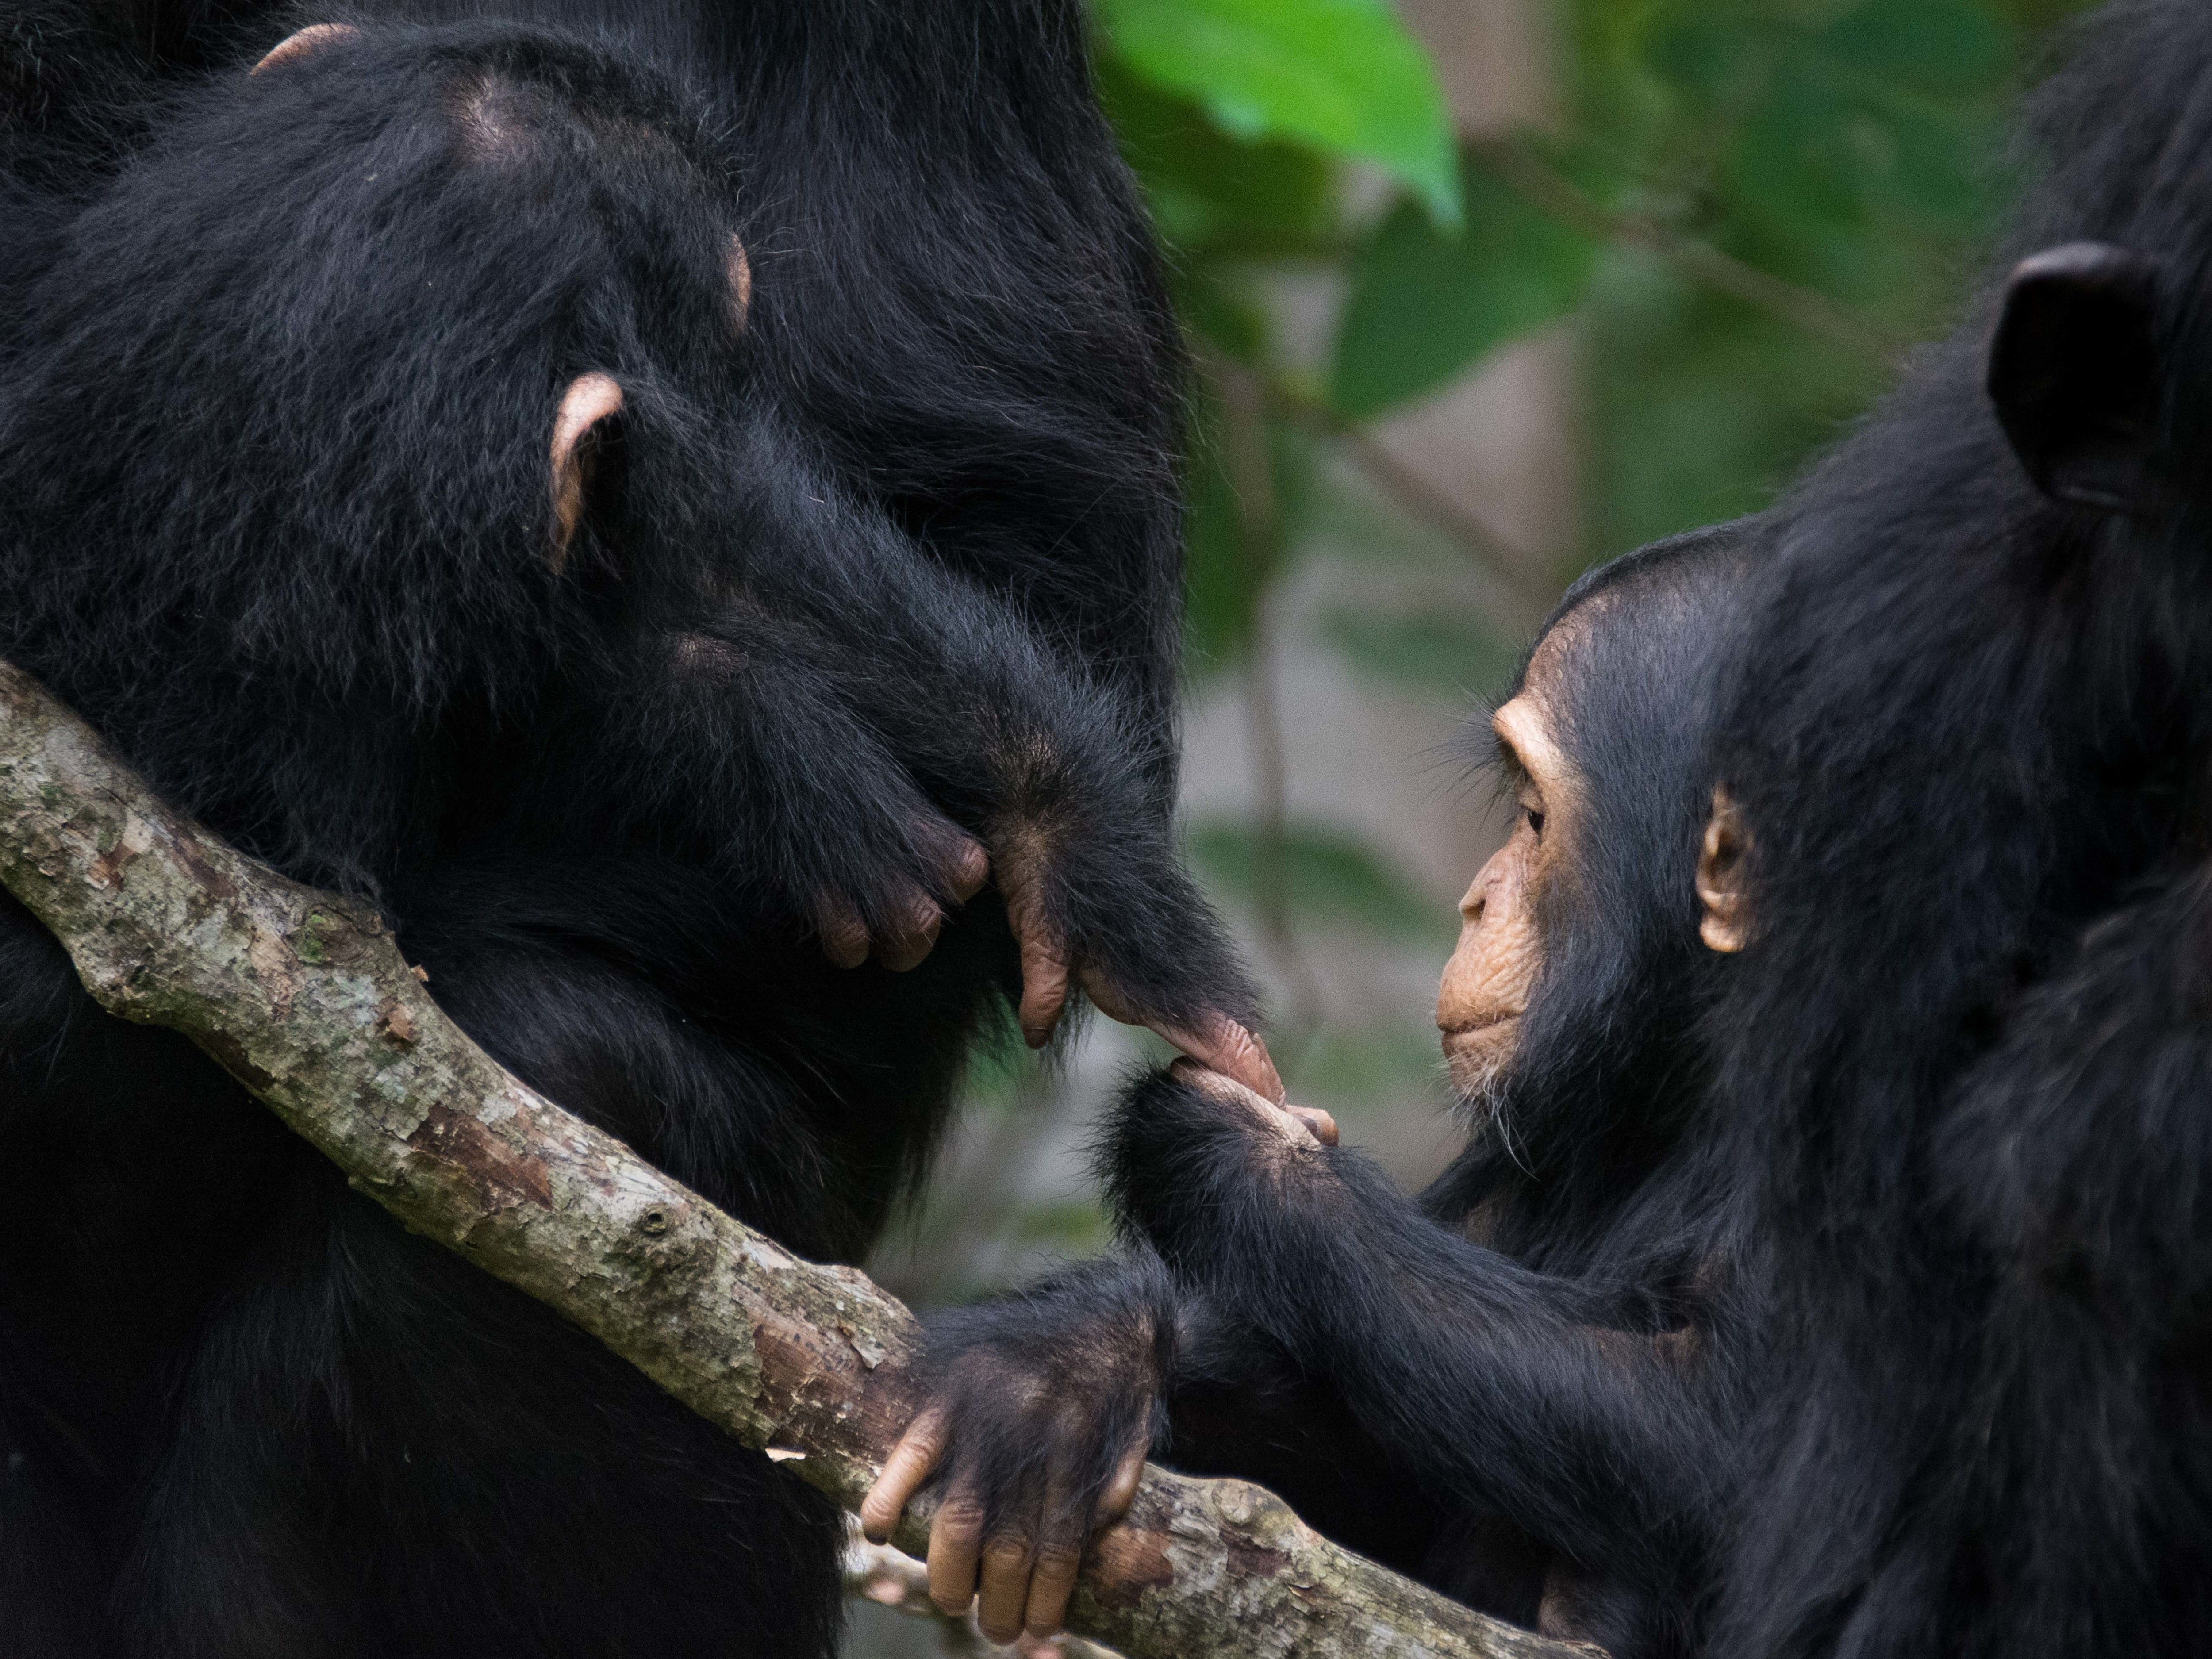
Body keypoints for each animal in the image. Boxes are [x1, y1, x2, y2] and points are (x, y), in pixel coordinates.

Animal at [863, 522, 1761, 1659]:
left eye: (1532, 816)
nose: (1475, 900)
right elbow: (1381, 1470)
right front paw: (1062, 1373)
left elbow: (1719, 1439)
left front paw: (1227, 1152)